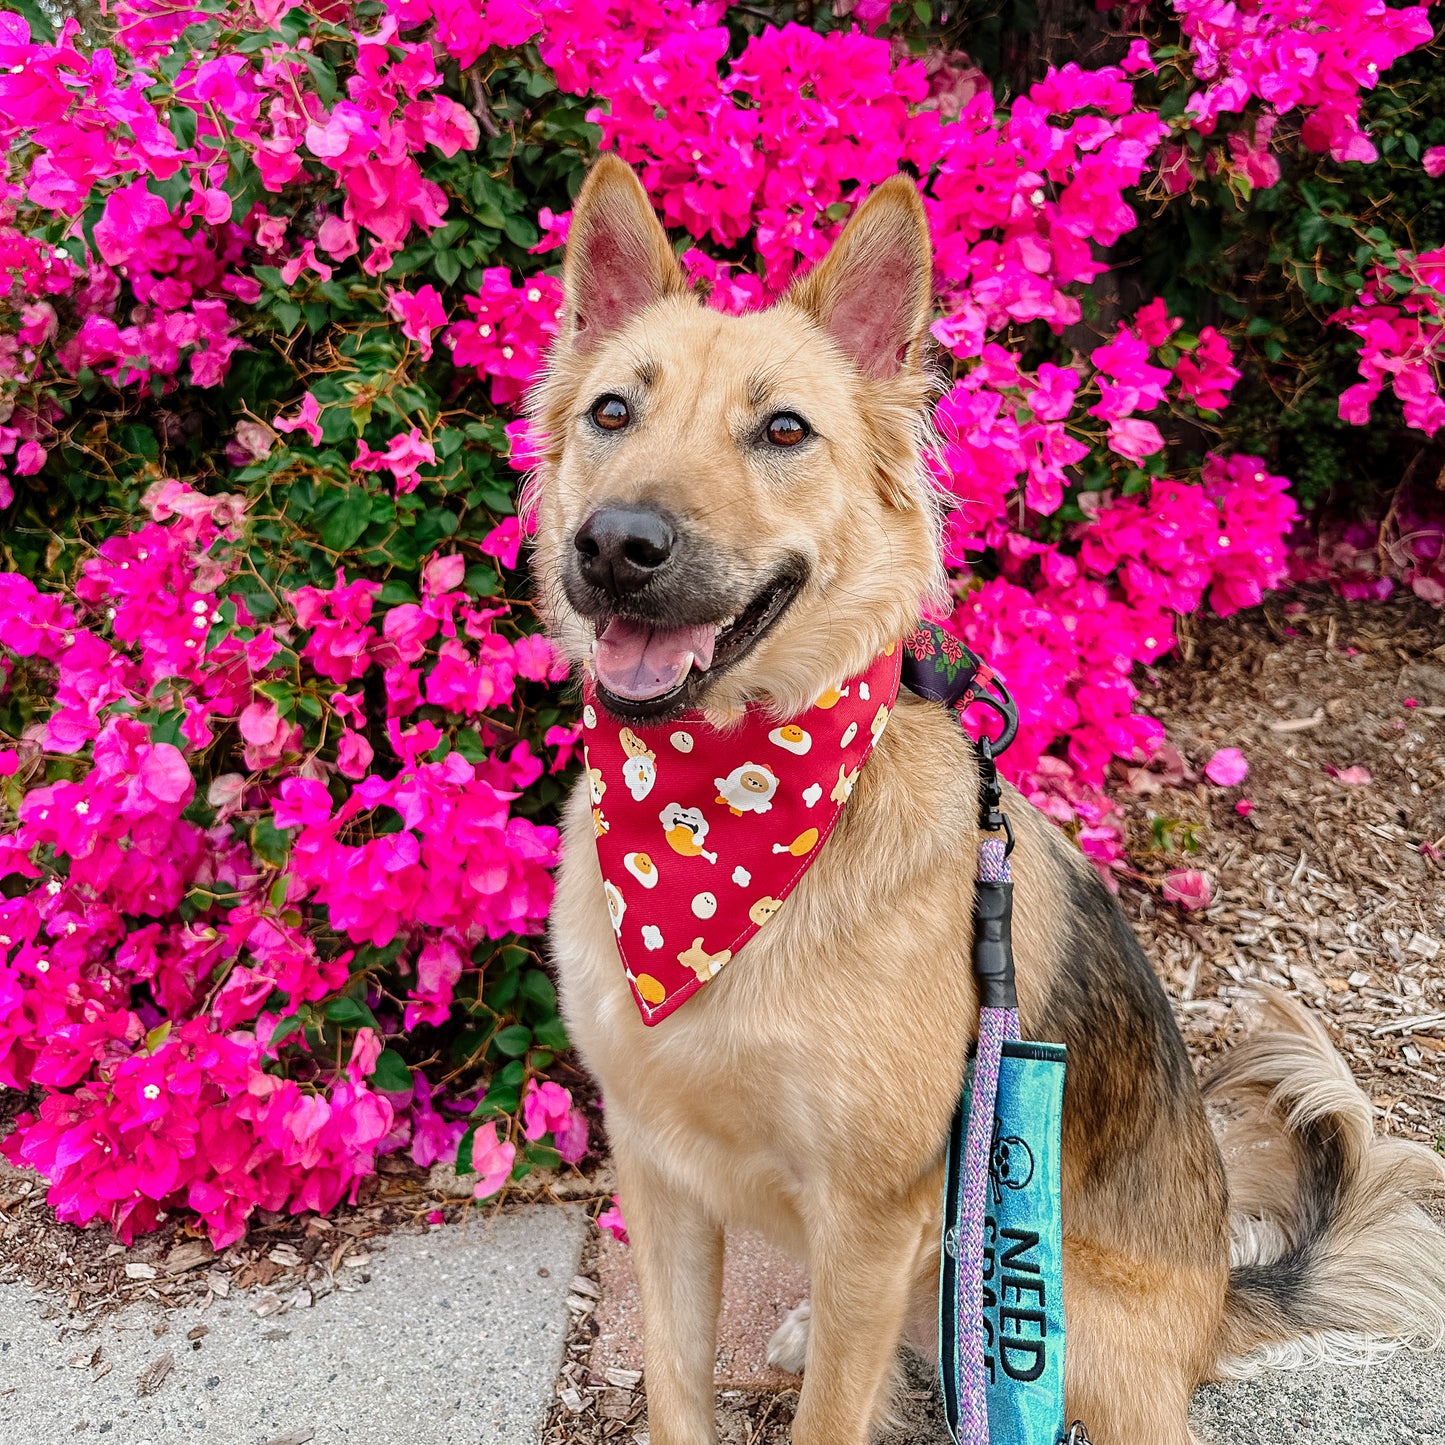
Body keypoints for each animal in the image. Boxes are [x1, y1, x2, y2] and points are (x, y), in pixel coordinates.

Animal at [528, 152, 1445, 1439]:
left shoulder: (869, 1219)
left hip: (1066, 1326)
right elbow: (674, 1386)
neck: (721, 818)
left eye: (782, 428)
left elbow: (829, 1412)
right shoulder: (660, 1173)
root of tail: (1218, 1294)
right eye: (612, 412)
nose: (616, 544)